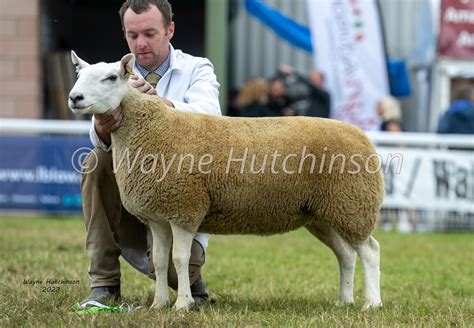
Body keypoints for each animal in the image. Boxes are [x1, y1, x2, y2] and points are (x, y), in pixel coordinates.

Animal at [69, 50, 386, 312]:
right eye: (79, 75)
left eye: (111, 77)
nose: (75, 98)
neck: (151, 128)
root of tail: (362, 136)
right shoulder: (158, 216)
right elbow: (158, 261)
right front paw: (159, 305)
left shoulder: (185, 208)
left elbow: (179, 259)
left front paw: (182, 305)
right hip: (322, 213)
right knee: (346, 255)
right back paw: (344, 300)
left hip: (353, 204)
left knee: (370, 251)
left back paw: (372, 304)